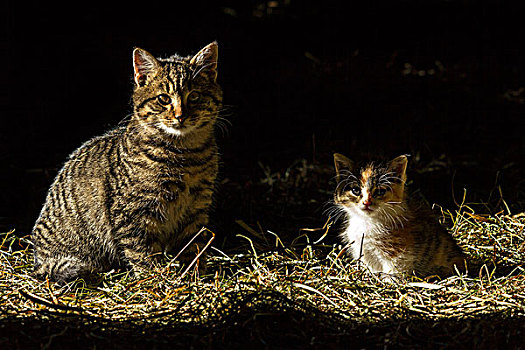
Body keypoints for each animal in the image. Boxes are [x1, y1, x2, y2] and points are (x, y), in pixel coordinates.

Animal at [32, 42, 221, 282]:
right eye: (163, 99)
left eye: (194, 96)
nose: (181, 116)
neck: (185, 155)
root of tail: (38, 259)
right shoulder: (134, 214)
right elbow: (142, 254)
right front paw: (155, 280)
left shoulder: (196, 208)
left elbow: (194, 246)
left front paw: (195, 276)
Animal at [330, 153, 464, 278]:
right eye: (356, 190)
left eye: (380, 191)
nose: (367, 202)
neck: (367, 221)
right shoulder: (363, 249)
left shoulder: (398, 253)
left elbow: (394, 269)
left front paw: (388, 281)